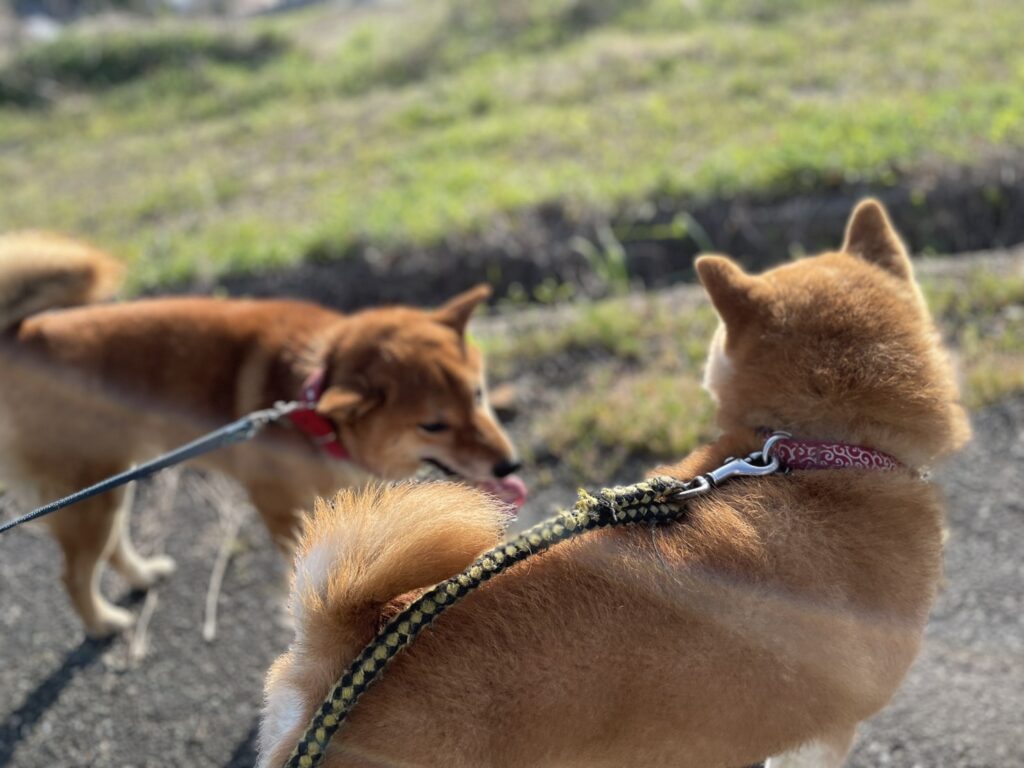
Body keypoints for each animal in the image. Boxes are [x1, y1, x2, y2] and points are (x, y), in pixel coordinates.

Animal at [0, 231, 525, 638]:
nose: (510, 465)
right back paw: (102, 623)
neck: (312, 401)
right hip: (90, 496)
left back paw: (142, 574)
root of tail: (24, 335)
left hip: (110, 487)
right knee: (73, 575)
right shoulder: (280, 510)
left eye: (478, 395)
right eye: (433, 425)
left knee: (110, 547)